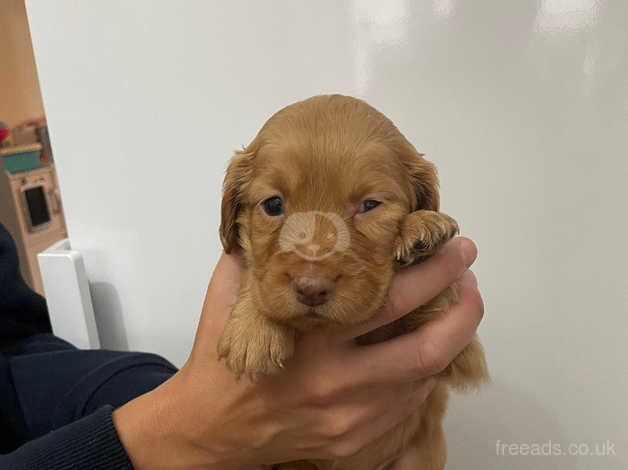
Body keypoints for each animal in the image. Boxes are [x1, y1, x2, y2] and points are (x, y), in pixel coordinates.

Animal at [218, 93, 488, 468]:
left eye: (370, 205)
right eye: (273, 204)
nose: (311, 288)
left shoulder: (457, 353)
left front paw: (422, 229)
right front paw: (252, 328)